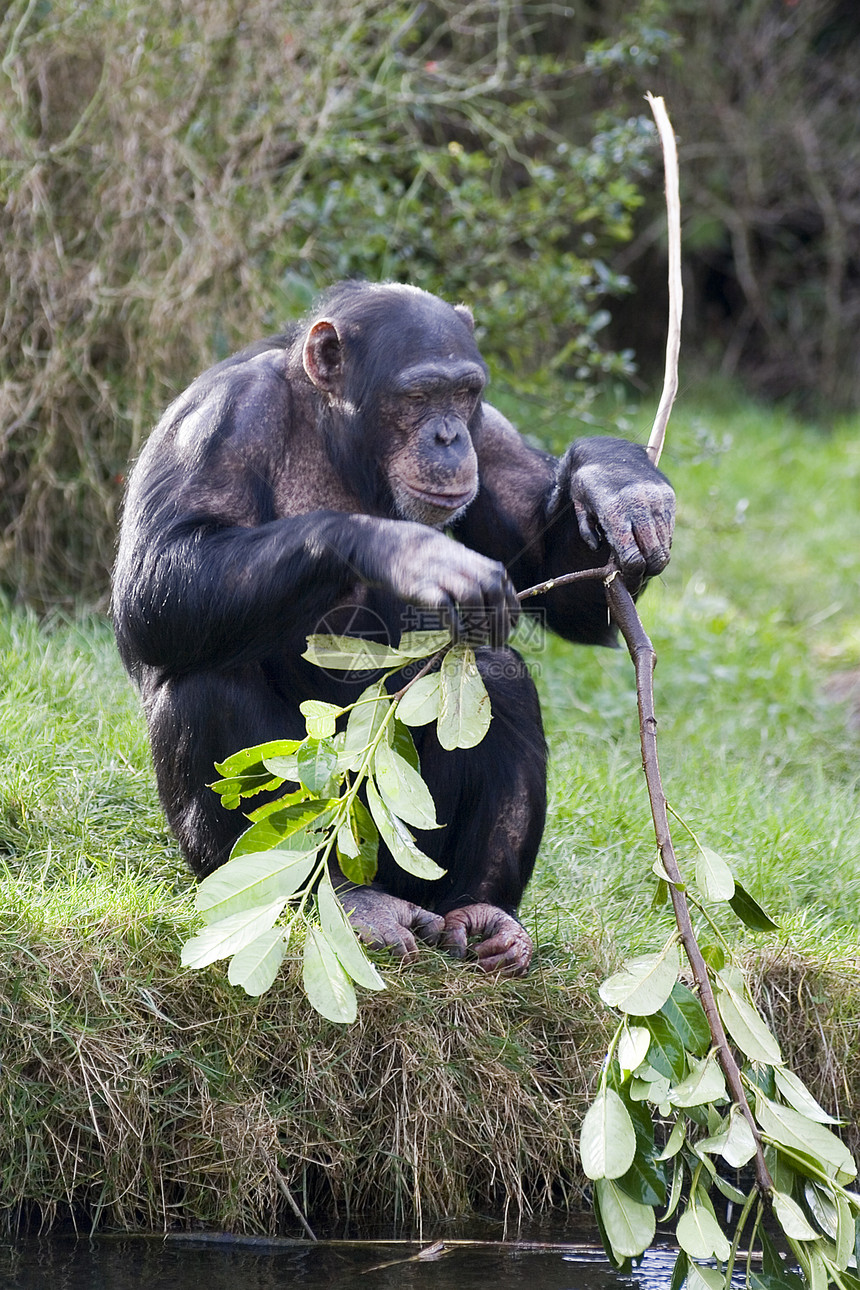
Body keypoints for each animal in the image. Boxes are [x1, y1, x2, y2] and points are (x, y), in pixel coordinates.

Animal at [110, 277, 675, 970]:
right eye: (418, 395)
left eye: (463, 393)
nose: (448, 436)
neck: (340, 438)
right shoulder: (215, 422)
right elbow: (155, 583)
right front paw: (406, 551)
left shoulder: (492, 436)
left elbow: (569, 587)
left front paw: (617, 481)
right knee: (208, 681)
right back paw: (345, 904)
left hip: (414, 857)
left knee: (499, 677)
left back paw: (483, 912)